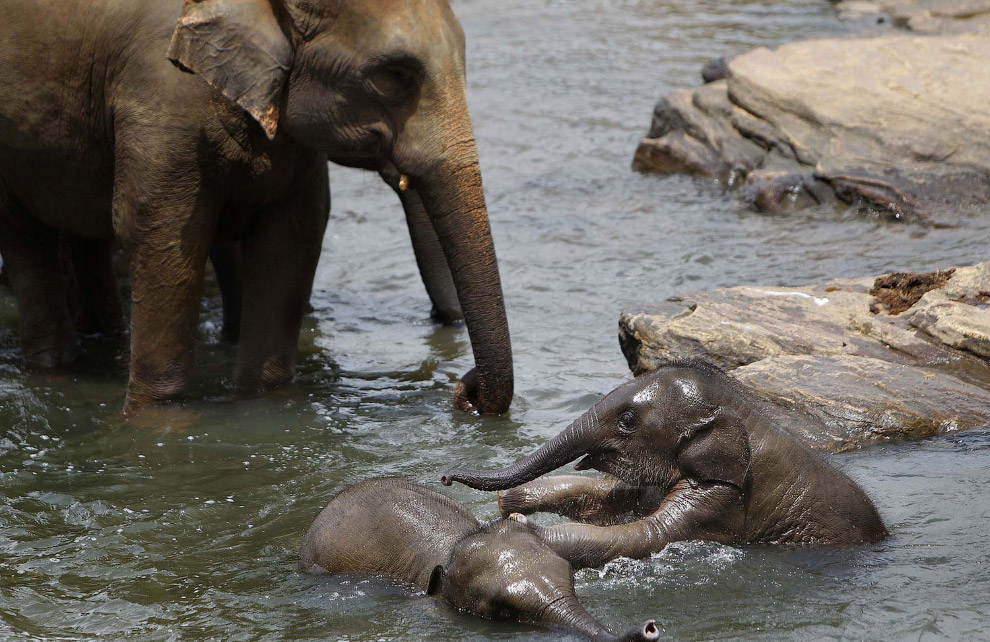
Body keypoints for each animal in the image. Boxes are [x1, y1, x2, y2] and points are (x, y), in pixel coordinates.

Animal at [0, 0, 512, 410]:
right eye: (392, 77)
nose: (465, 389)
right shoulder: (158, 102)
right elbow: (157, 233)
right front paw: (154, 420)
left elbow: (292, 239)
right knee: (27, 238)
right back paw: (55, 370)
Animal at [444, 362, 892, 568]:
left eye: (627, 420)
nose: (446, 477)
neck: (744, 412)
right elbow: (611, 503)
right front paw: (512, 502)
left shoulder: (724, 497)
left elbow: (644, 535)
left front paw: (521, 527)